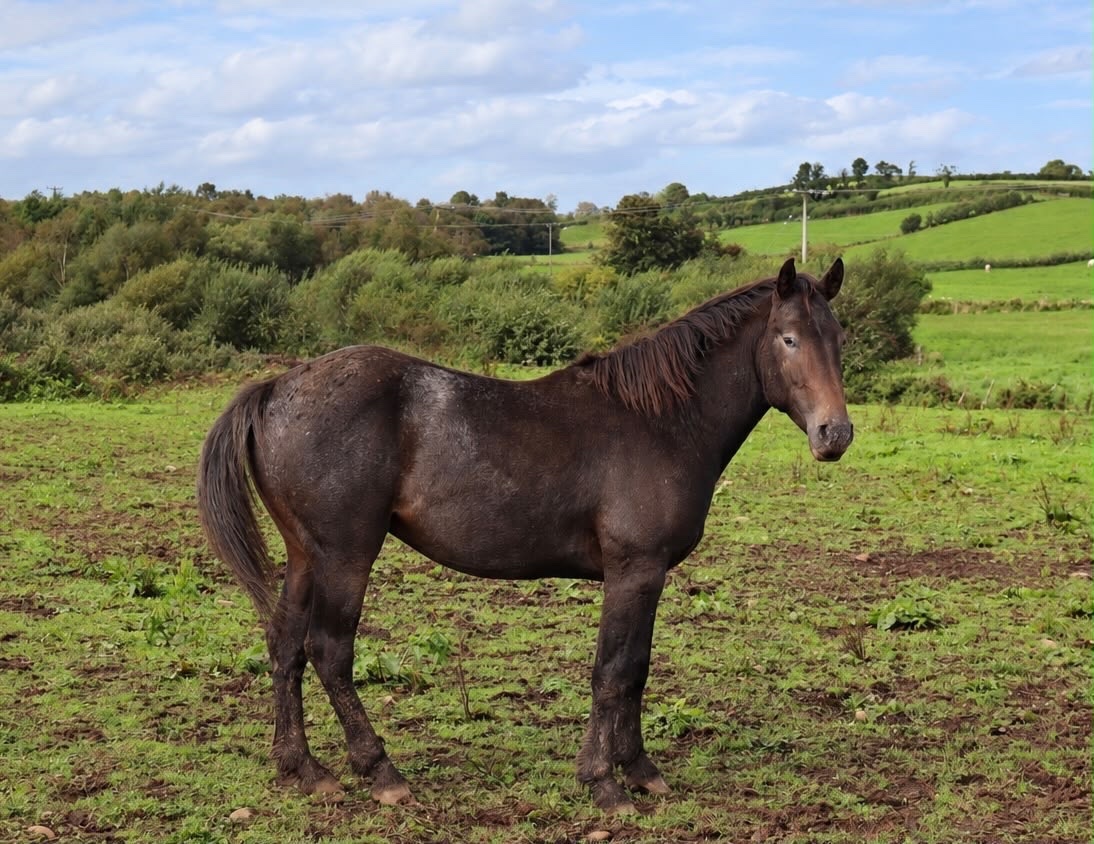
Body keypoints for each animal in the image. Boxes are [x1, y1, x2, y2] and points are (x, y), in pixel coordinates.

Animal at [196, 256, 853, 814]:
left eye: (839, 339)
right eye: (788, 339)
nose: (835, 434)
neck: (662, 421)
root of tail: (277, 388)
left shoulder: (650, 575)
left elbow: (637, 668)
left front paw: (640, 770)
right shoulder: (633, 571)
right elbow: (612, 671)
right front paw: (603, 783)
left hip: (305, 556)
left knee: (284, 646)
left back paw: (303, 769)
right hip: (346, 555)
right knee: (329, 652)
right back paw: (381, 772)